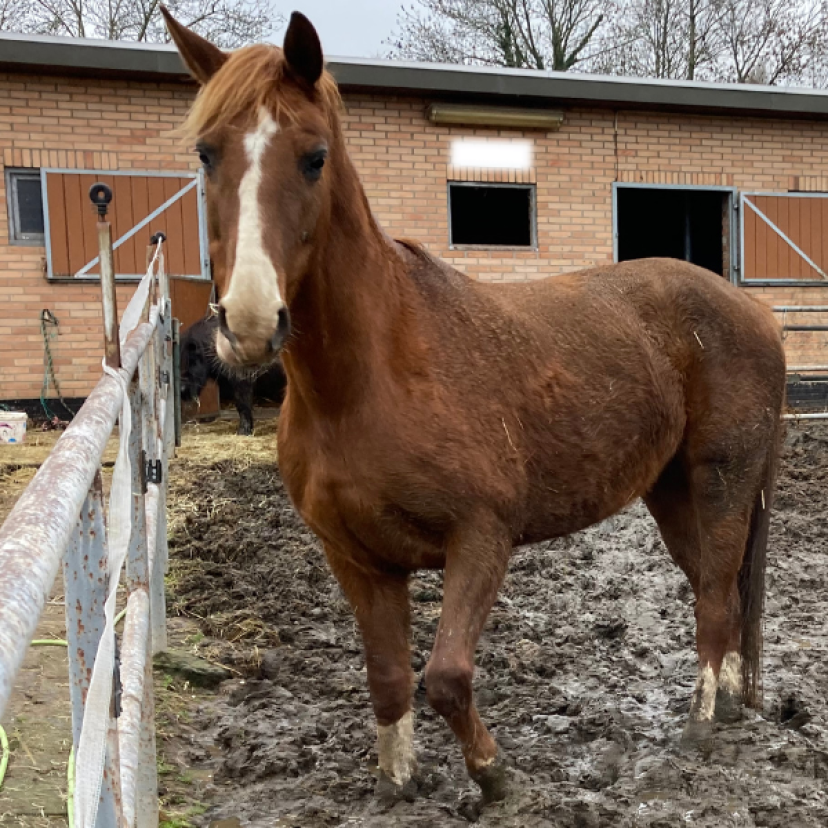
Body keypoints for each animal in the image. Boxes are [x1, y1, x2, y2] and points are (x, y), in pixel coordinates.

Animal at [163, 7, 786, 805]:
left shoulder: (481, 539)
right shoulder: (355, 558)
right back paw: (732, 706)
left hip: (721, 483)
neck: (373, 379)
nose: (246, 322)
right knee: (724, 593)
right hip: (671, 491)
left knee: (712, 595)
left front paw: (494, 774)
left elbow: (447, 676)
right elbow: (388, 675)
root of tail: (753, 311)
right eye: (207, 154)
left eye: (314, 157)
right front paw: (398, 780)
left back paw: (701, 725)